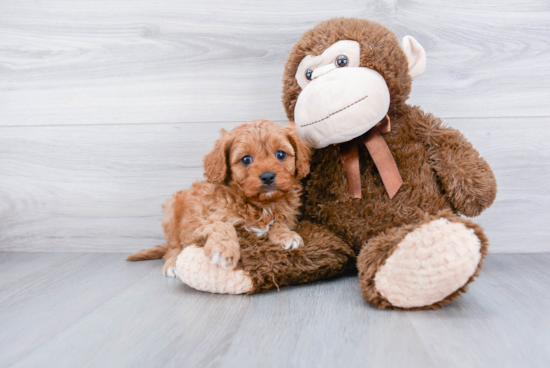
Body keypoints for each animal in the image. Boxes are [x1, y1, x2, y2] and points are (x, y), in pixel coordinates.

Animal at [126, 119, 312, 278]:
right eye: (246, 159)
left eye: (280, 154)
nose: (267, 177)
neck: (260, 204)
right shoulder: (198, 226)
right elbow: (222, 225)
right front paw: (223, 250)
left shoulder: (286, 215)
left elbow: (278, 222)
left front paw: (286, 236)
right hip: (171, 213)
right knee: (173, 246)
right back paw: (172, 263)